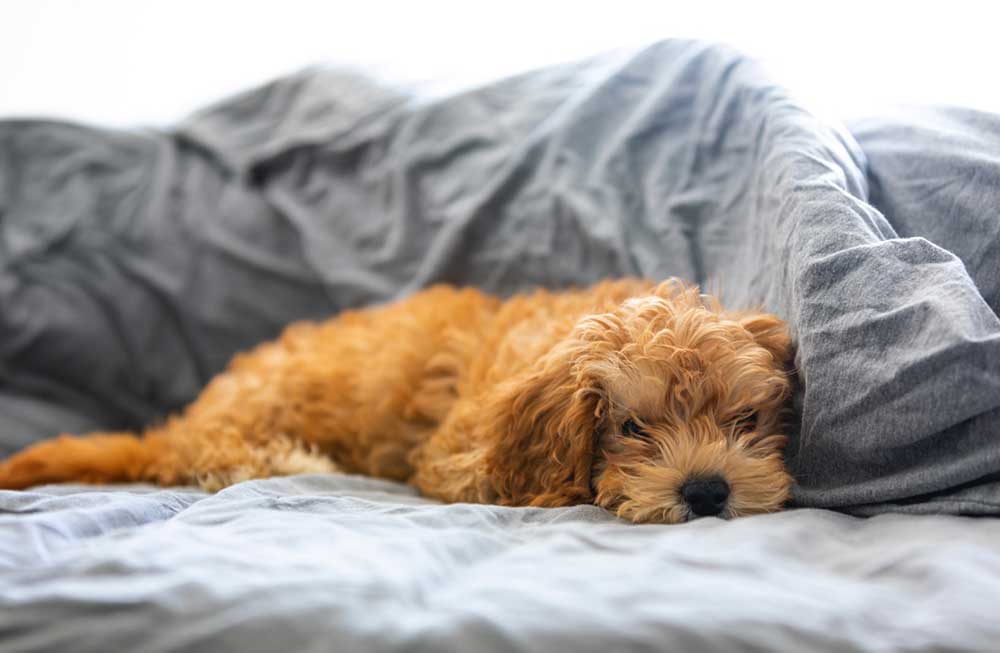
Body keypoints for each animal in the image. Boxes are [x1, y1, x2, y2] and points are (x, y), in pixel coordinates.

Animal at [0, 278, 796, 524]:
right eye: (632, 426)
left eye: (745, 418)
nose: (706, 489)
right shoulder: (455, 455)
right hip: (262, 402)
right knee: (206, 450)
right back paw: (278, 458)